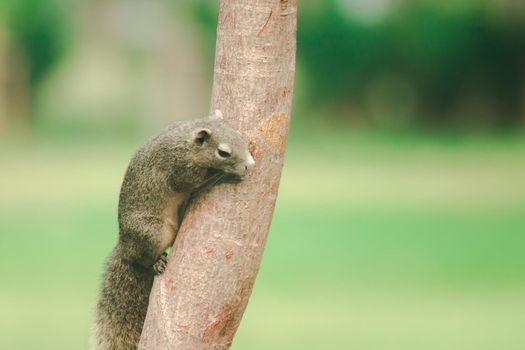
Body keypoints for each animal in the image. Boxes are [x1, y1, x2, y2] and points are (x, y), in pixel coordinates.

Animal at [92, 111, 256, 350]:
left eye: (240, 136)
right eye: (223, 152)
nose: (250, 164)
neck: (187, 142)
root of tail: (125, 247)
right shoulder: (179, 171)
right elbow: (199, 182)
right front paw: (225, 175)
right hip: (152, 231)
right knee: (144, 259)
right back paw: (156, 262)